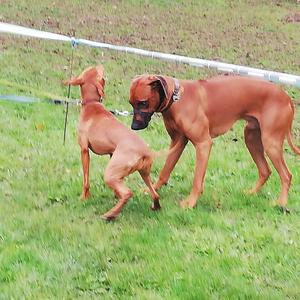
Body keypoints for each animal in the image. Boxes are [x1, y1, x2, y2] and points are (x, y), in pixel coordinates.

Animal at [64, 66, 161, 220]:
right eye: (94, 69)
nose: (101, 65)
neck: (92, 103)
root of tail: (144, 151)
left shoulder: (84, 151)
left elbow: (86, 180)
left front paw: (84, 197)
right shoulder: (111, 153)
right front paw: (115, 194)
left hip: (110, 174)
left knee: (128, 193)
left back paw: (110, 214)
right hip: (144, 173)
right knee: (155, 194)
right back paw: (154, 206)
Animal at [129, 74, 300, 211]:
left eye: (143, 103)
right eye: (130, 103)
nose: (134, 127)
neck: (177, 98)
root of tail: (287, 97)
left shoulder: (203, 144)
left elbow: (197, 180)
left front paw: (190, 202)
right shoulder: (177, 142)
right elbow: (165, 171)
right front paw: (153, 190)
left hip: (271, 143)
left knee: (286, 175)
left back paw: (281, 203)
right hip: (251, 138)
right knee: (265, 171)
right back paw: (251, 193)